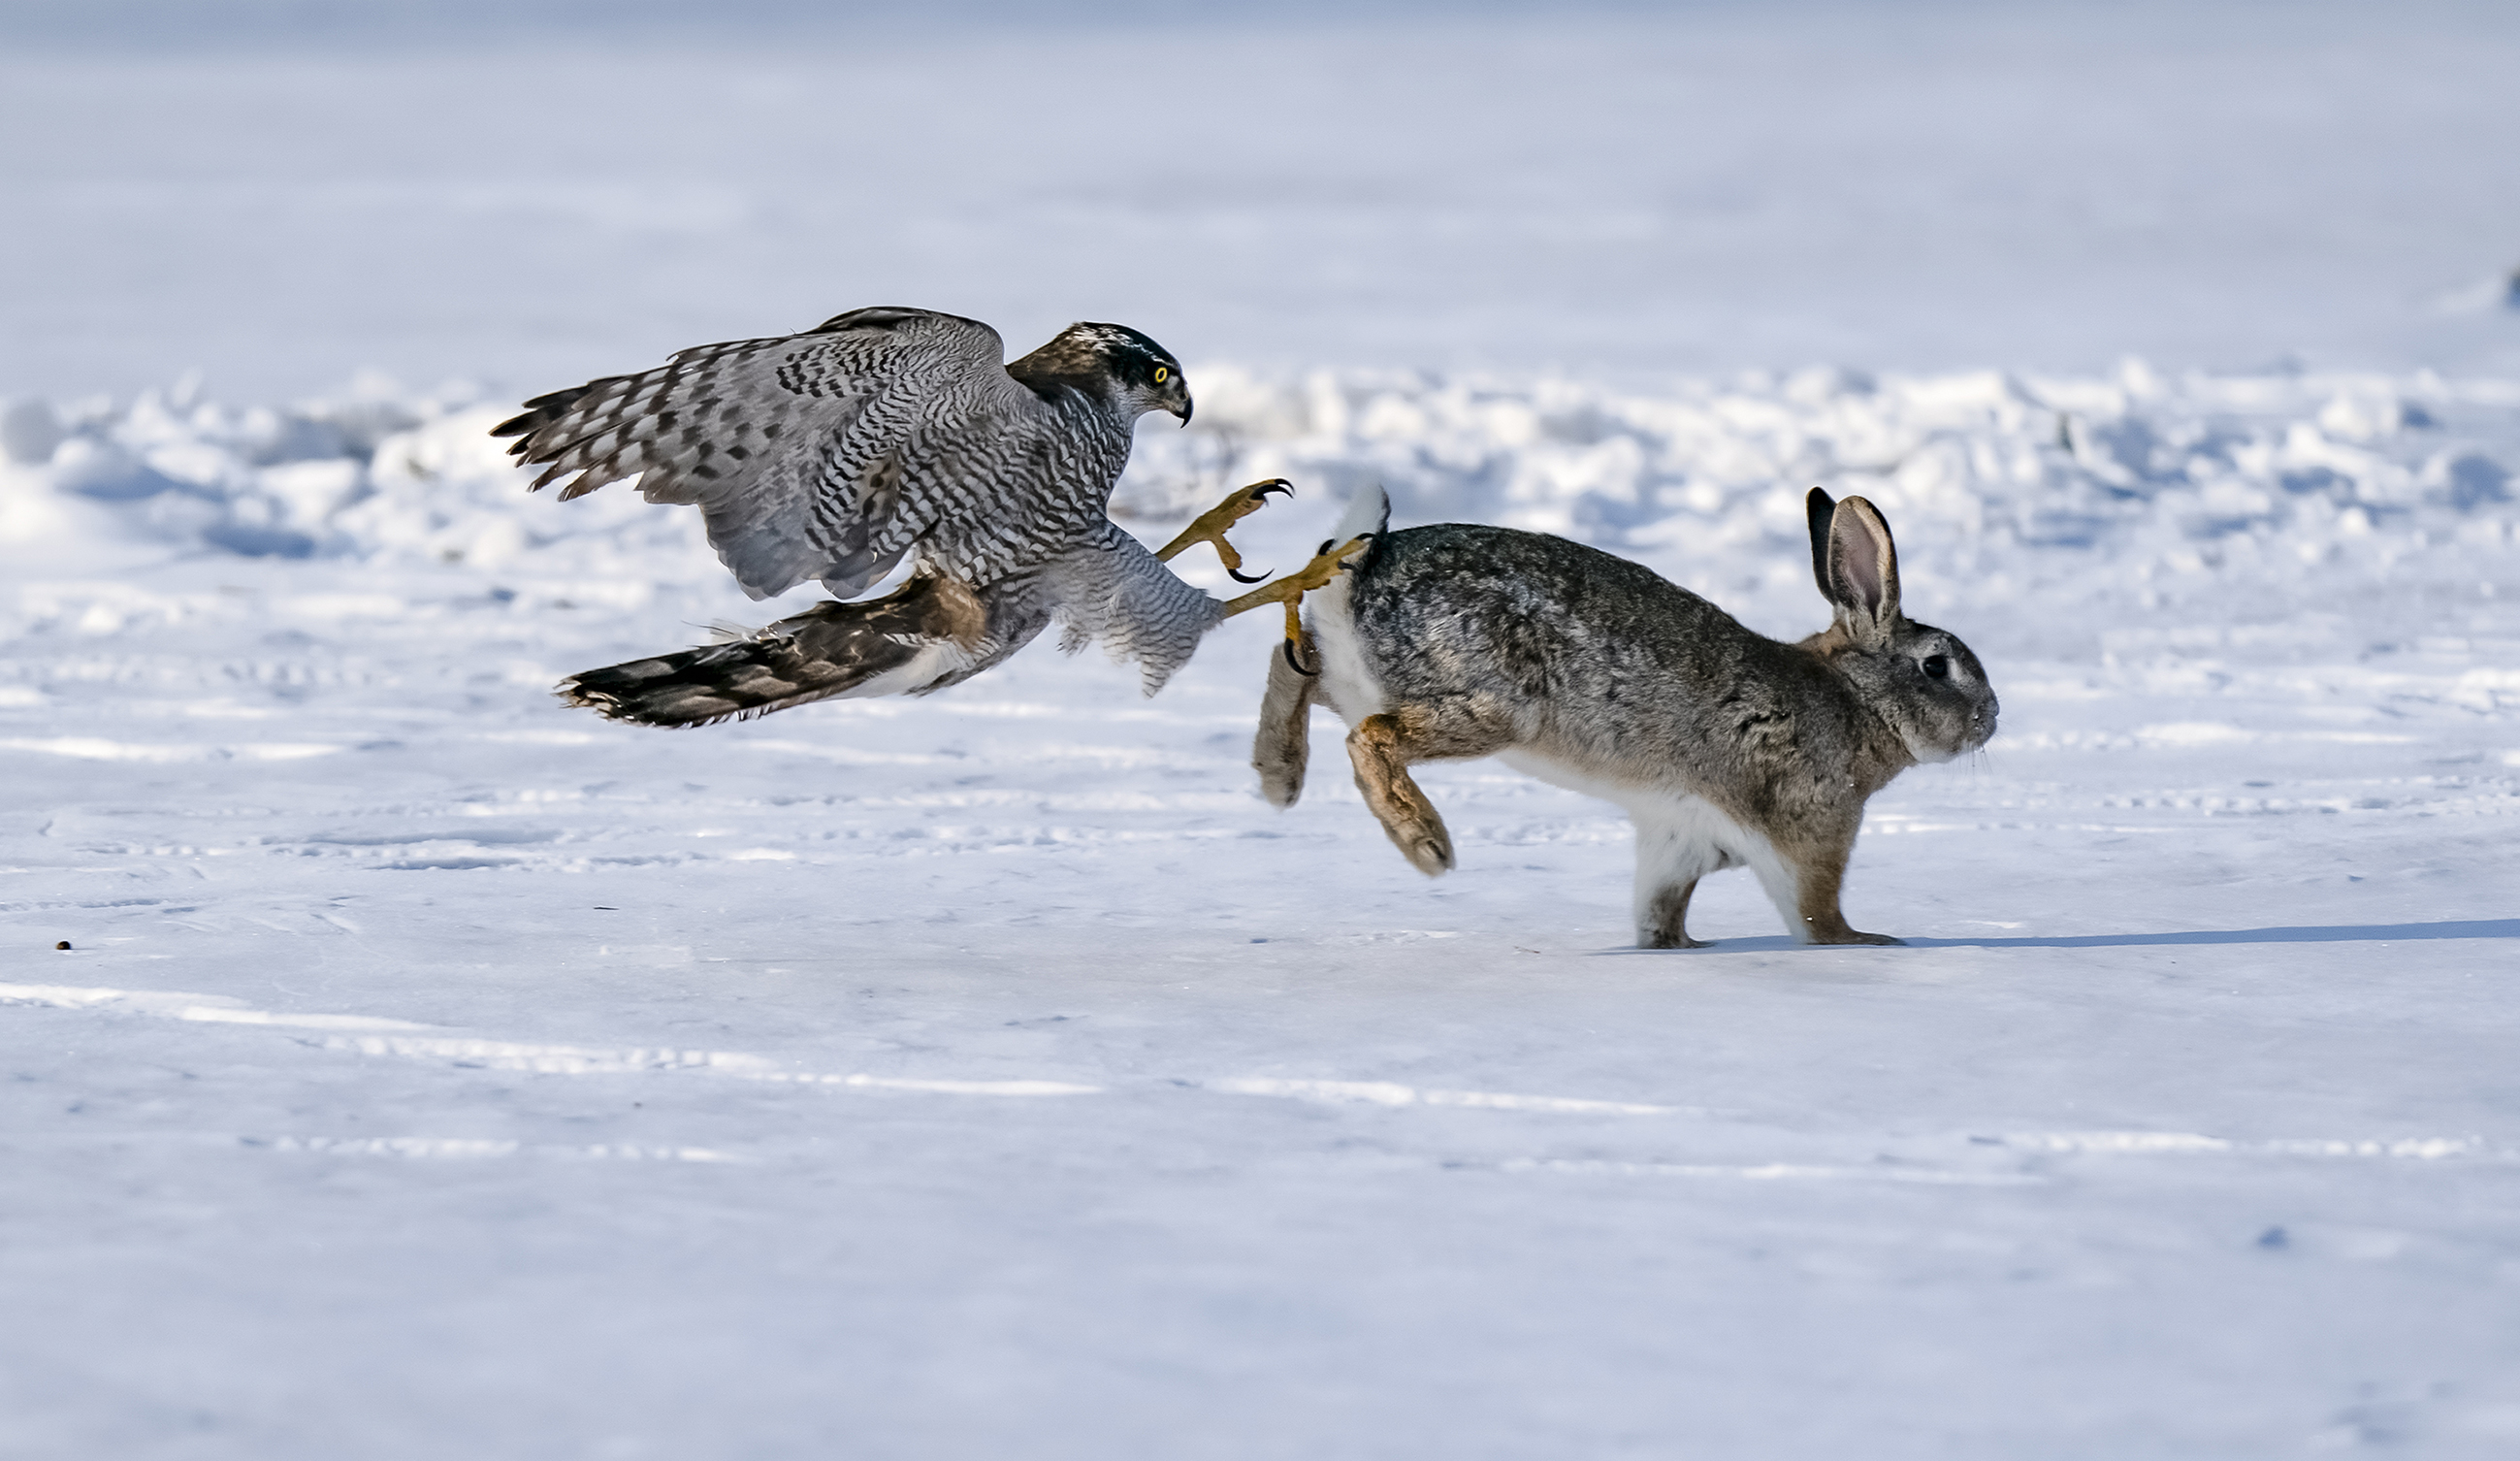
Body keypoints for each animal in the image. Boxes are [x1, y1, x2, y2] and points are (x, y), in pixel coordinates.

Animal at [1249, 486, 1995, 952]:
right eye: (1937, 666)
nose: (1990, 719)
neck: (1857, 698)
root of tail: (1362, 568)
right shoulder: (1811, 829)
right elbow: (1817, 911)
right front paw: (1868, 943)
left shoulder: (1679, 842)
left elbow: (1660, 911)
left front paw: (1677, 948)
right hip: (1494, 706)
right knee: (1369, 737)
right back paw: (1425, 844)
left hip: (1361, 676)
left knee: (1296, 665)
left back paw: (1277, 777)